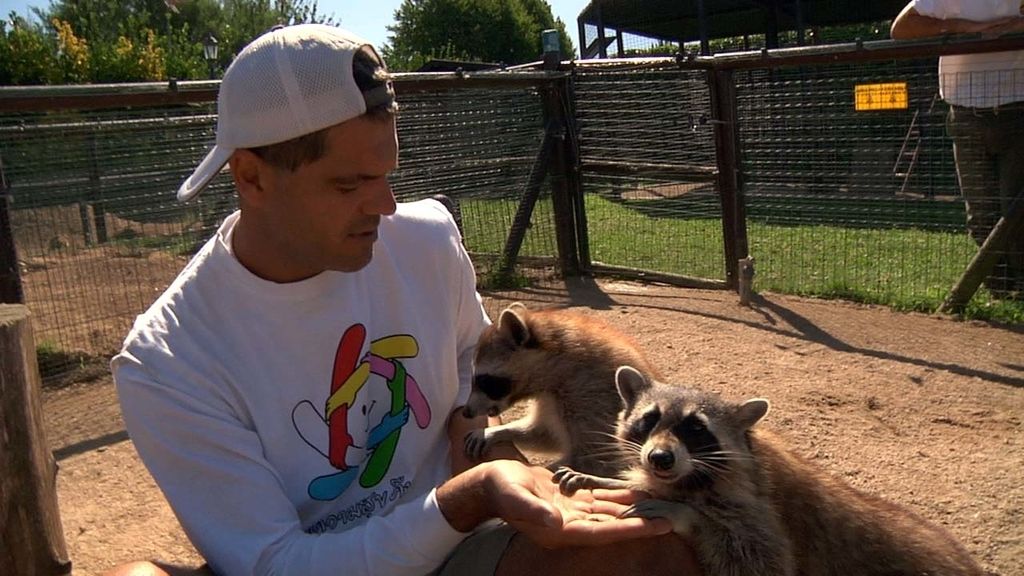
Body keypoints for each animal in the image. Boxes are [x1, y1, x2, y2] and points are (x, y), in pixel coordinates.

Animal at [462, 301, 655, 475]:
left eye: (485, 381)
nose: (466, 412)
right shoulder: (550, 399)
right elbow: (546, 434)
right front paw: (497, 431)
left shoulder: (592, 397)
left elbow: (597, 458)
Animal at [557, 364, 987, 573]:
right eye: (650, 420)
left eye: (696, 429)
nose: (659, 458)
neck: (691, 474)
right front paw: (605, 478)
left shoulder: (753, 501)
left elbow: (763, 562)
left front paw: (685, 515)